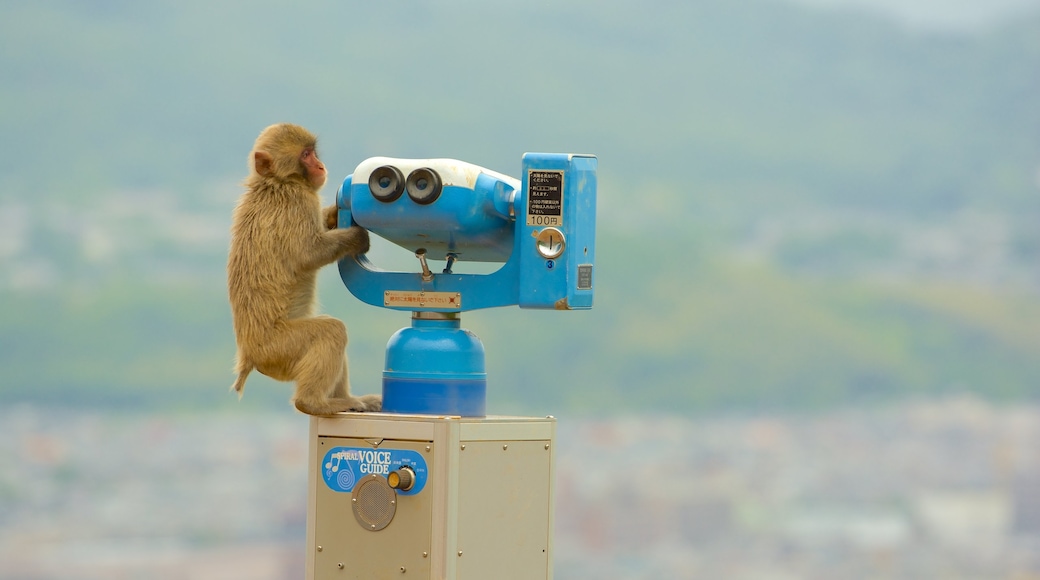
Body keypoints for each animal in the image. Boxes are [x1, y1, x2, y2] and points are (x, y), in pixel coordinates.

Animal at [227, 122, 382, 415]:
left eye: (313, 152)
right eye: (306, 155)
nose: (320, 166)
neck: (278, 182)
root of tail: (250, 356)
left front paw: (333, 215)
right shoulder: (298, 202)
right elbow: (308, 254)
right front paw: (357, 238)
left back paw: (348, 399)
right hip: (279, 349)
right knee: (331, 330)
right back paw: (313, 402)